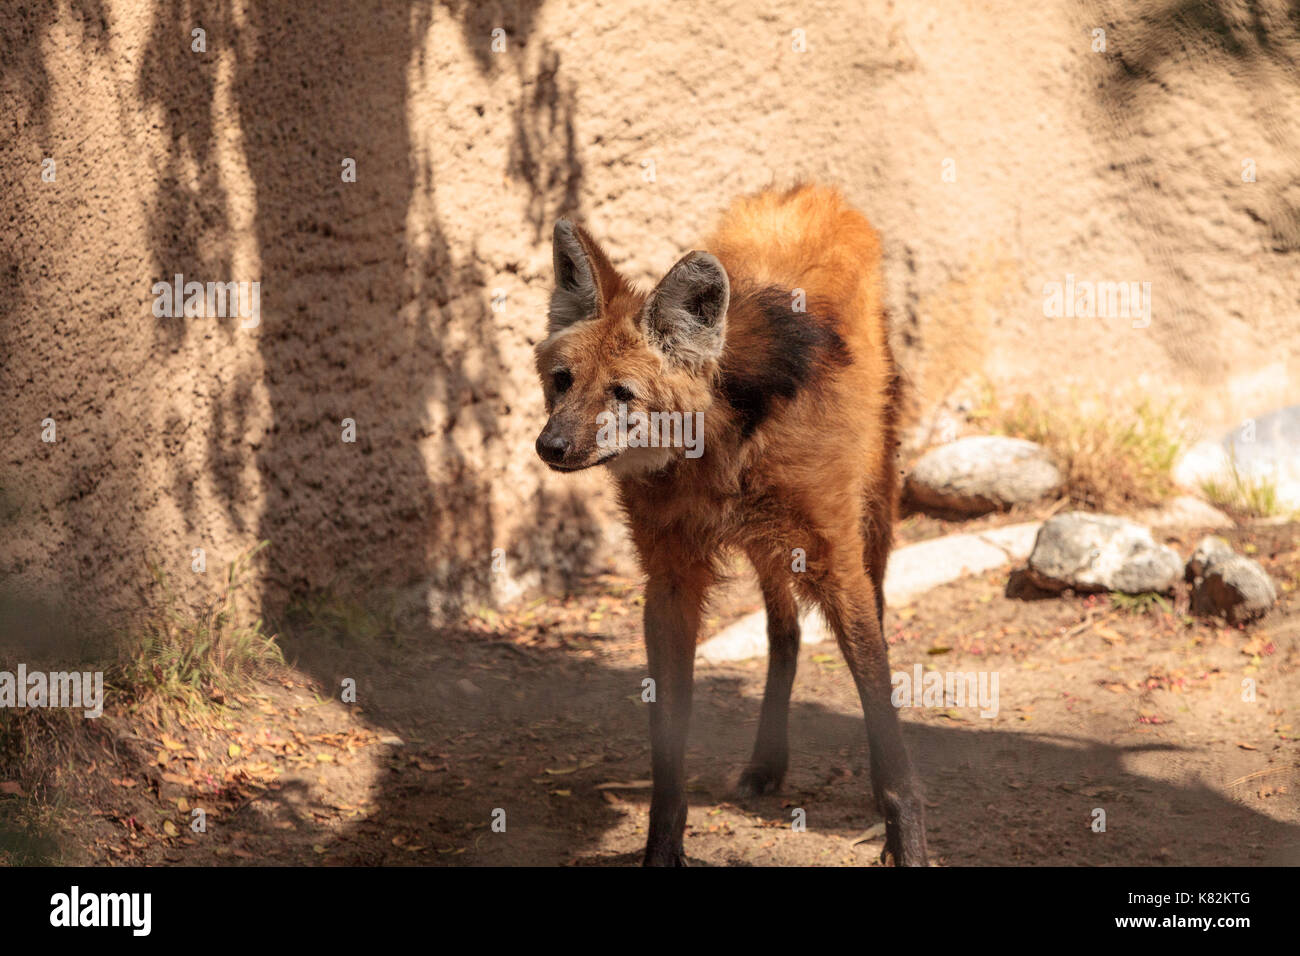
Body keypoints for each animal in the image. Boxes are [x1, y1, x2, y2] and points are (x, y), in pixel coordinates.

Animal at [533, 184, 930, 868]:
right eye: (563, 382)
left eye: (622, 394)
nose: (550, 446)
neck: (717, 452)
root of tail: (810, 190)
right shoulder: (670, 580)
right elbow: (669, 749)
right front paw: (662, 850)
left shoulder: (835, 561)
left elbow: (883, 716)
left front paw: (906, 842)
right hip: (768, 543)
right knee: (785, 631)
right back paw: (767, 763)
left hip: (863, 506)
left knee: (863, 612)